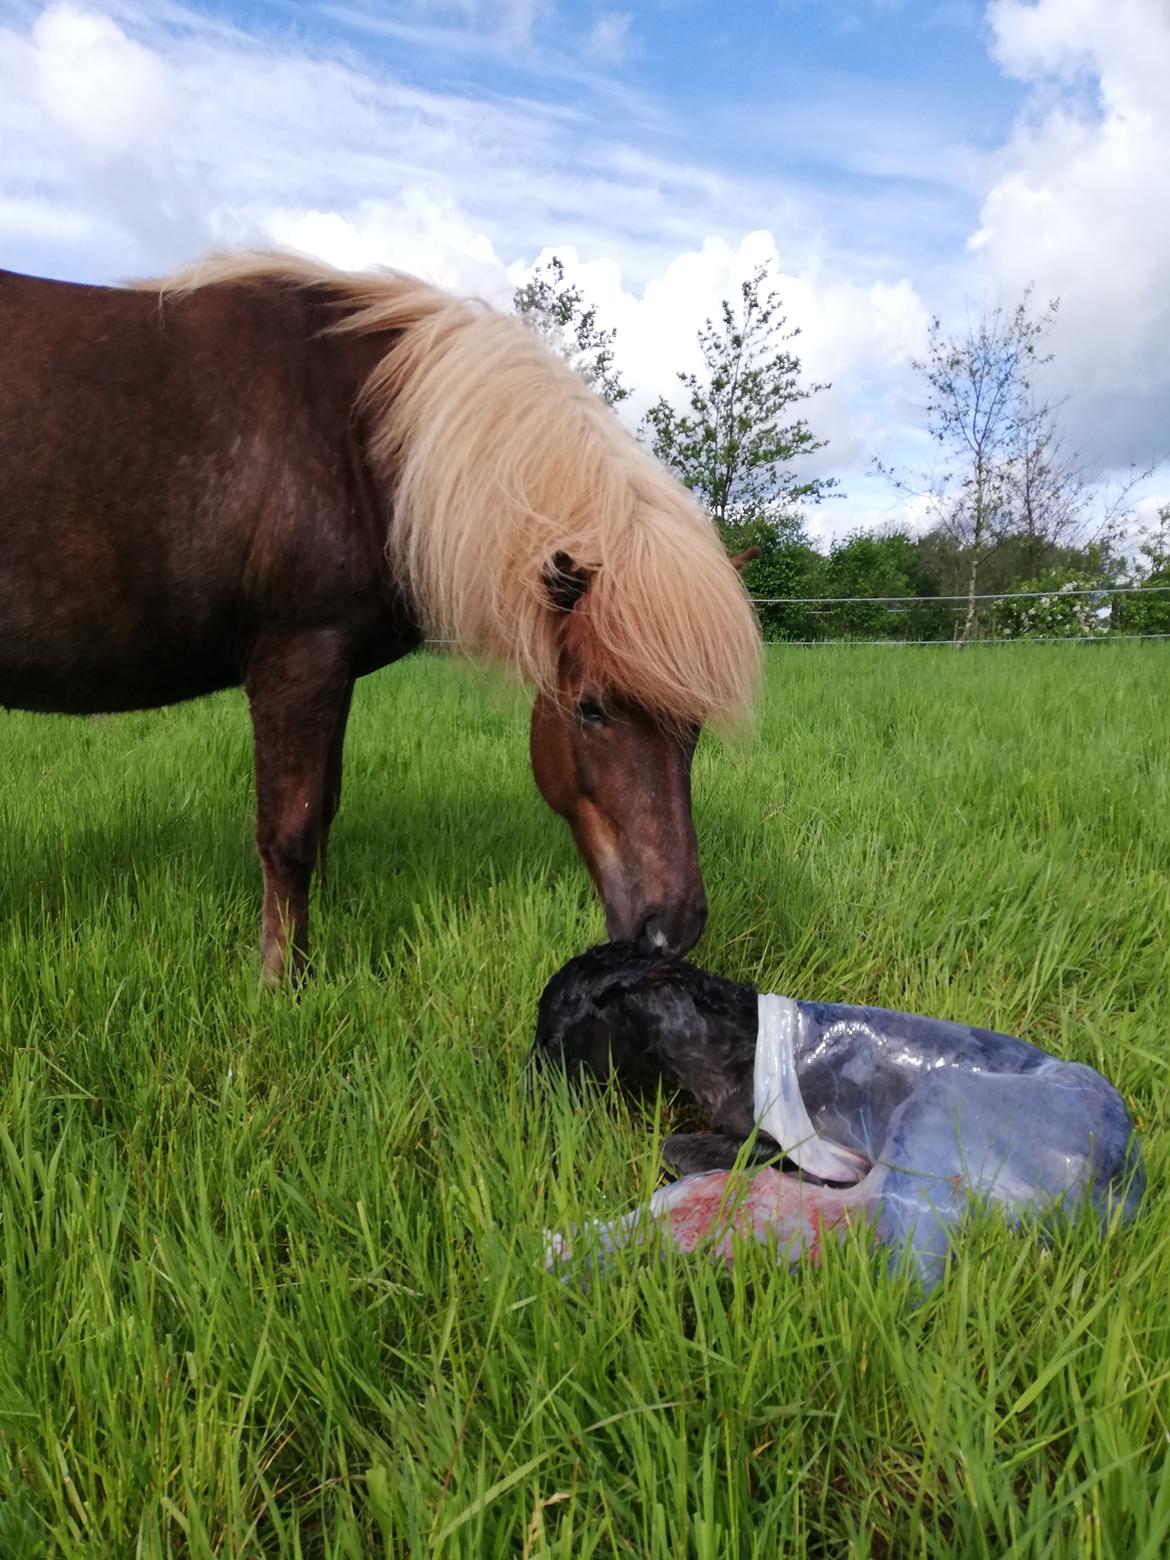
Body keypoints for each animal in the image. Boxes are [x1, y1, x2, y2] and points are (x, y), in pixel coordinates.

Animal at [0, 255, 764, 985]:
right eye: (591, 709)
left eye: (696, 724)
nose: (673, 929)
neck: (362, 436)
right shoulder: (296, 662)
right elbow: (288, 833)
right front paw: (282, 981)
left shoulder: (331, 673)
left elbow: (323, 811)